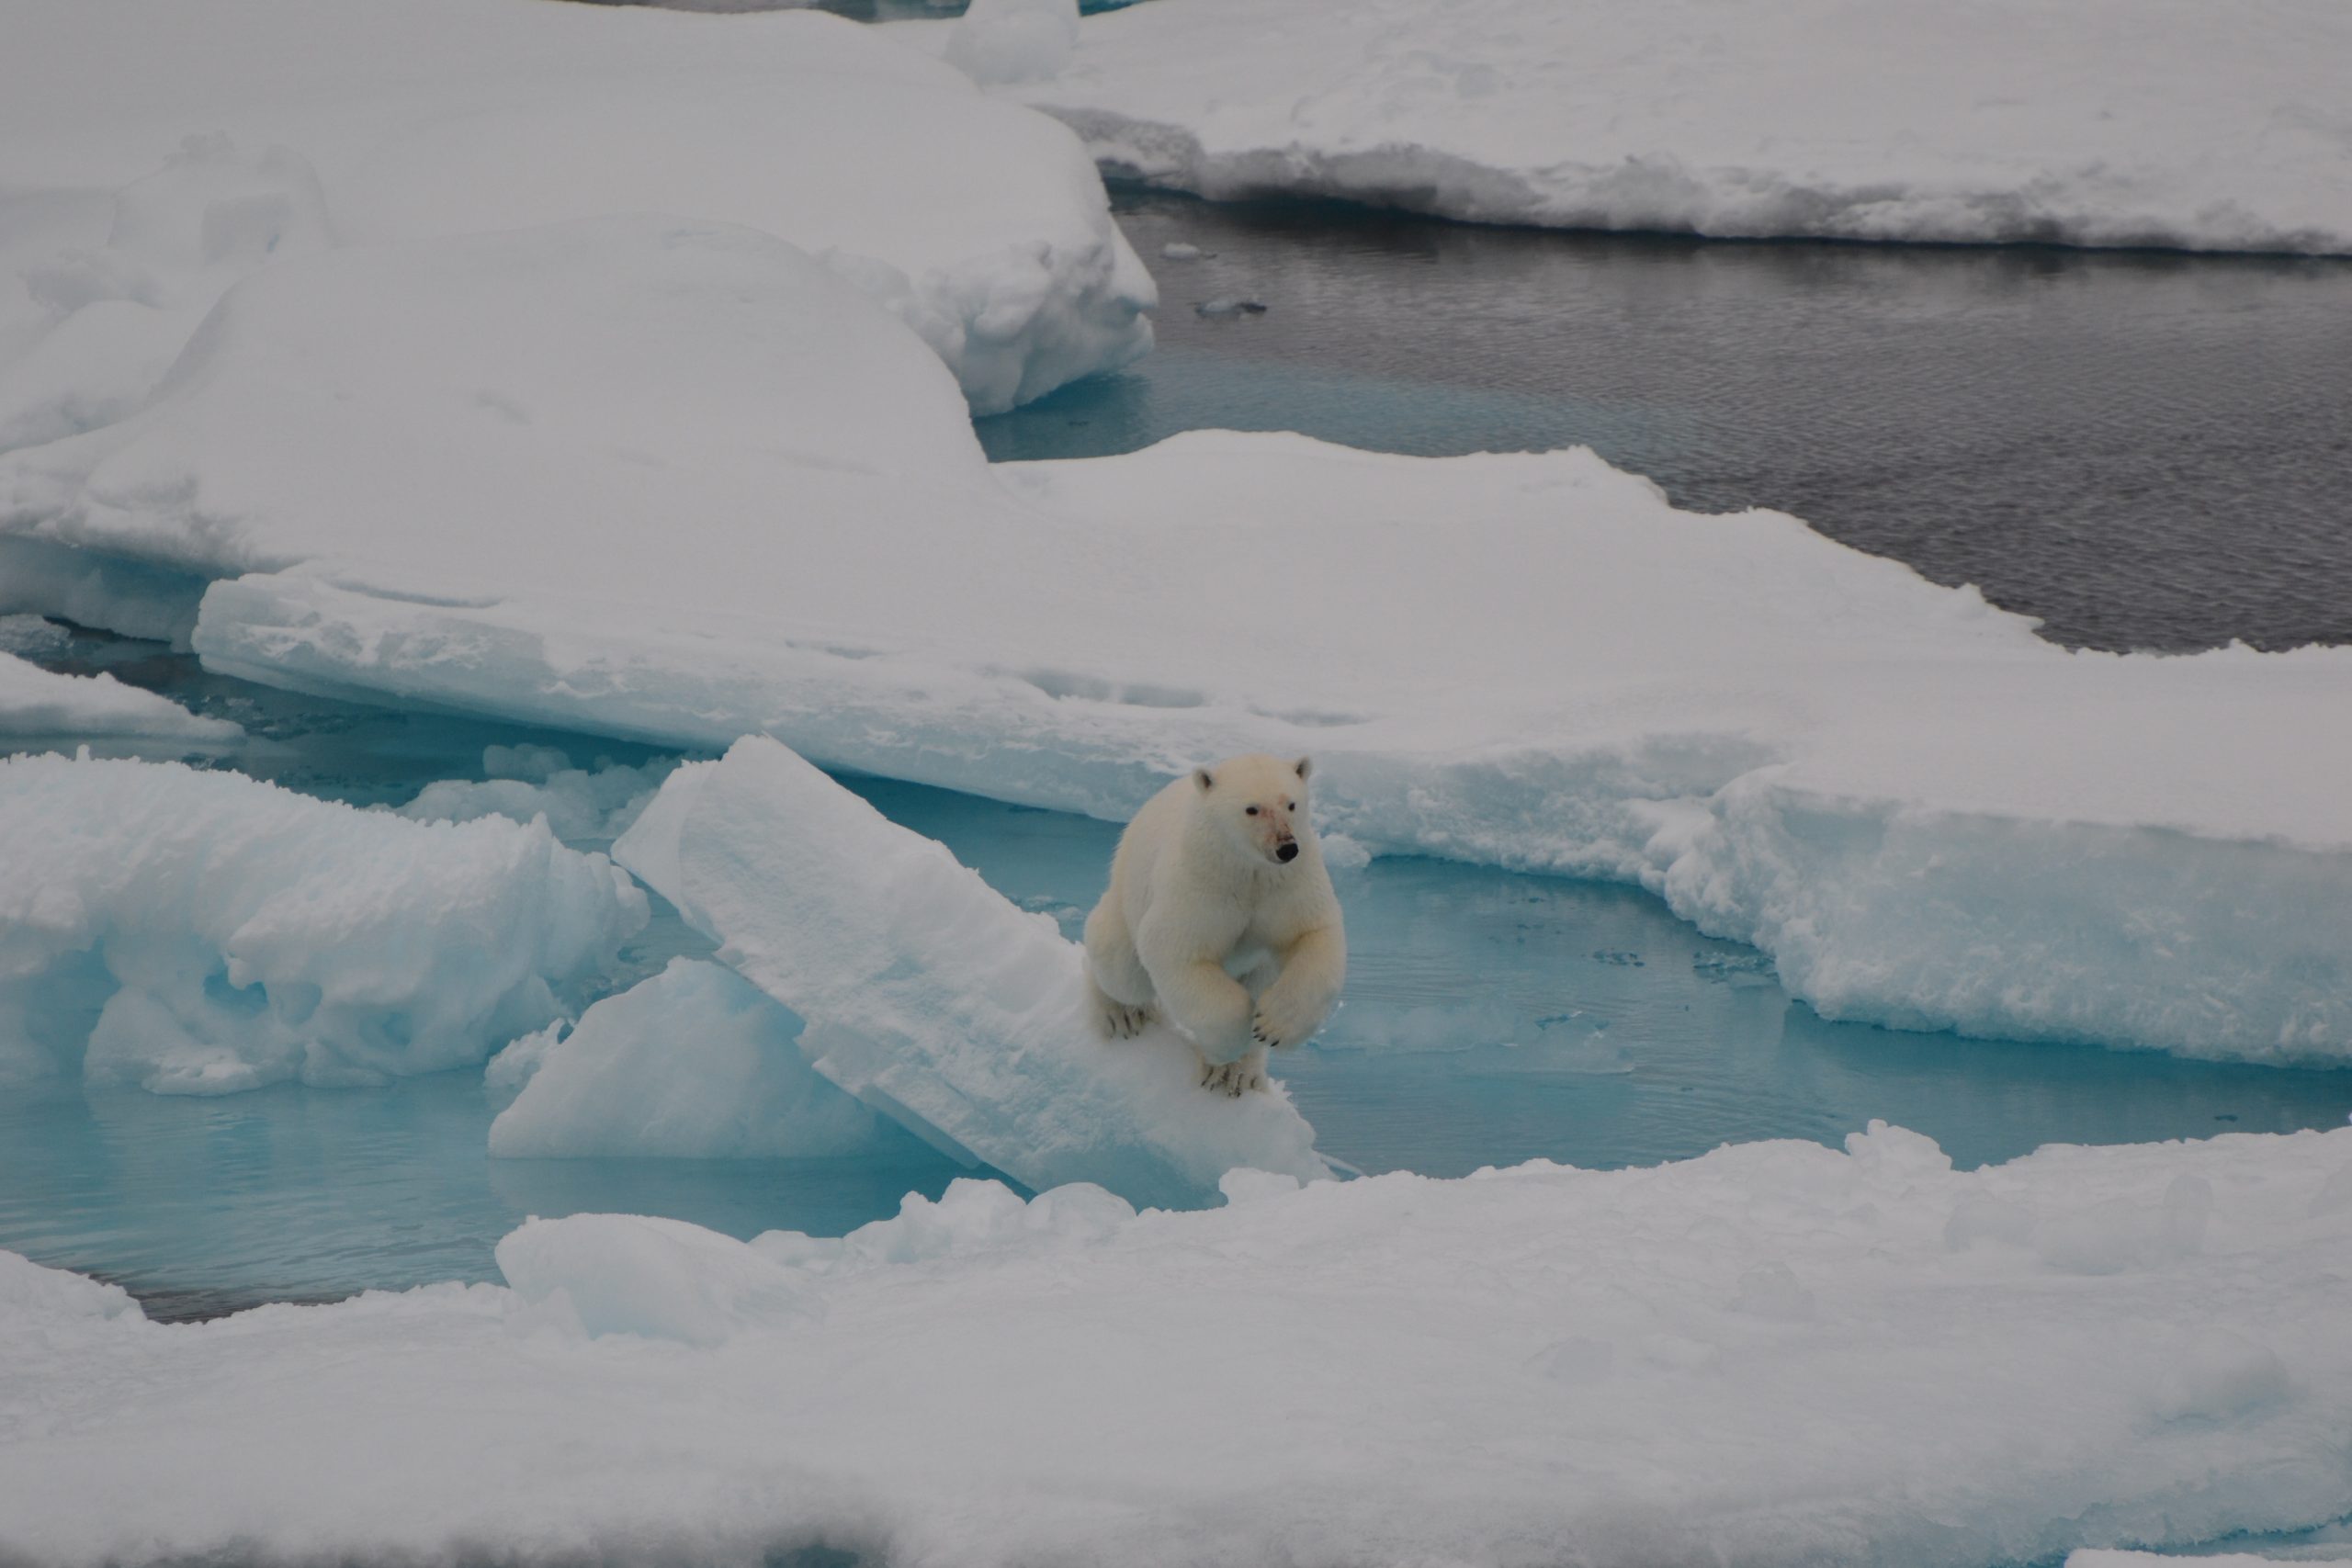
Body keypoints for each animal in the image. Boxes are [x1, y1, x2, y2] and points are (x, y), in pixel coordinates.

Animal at [1077, 751, 1345, 1100]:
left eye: (1291, 804)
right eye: (1251, 808)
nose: (1286, 847)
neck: (1246, 868)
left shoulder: (1288, 883)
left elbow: (1312, 934)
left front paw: (1272, 1027)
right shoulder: (1203, 881)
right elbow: (1176, 949)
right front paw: (1224, 1050)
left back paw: (1241, 1075)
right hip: (1124, 905)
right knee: (1122, 971)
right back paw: (1121, 1014)